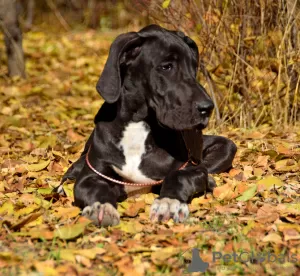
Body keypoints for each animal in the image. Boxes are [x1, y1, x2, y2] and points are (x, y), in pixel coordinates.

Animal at [57, 24, 237, 226]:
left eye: (194, 67)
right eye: (166, 66)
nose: (208, 108)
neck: (138, 124)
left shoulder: (192, 168)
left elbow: (178, 176)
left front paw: (169, 203)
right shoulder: (90, 176)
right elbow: (95, 188)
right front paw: (101, 207)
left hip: (227, 147)